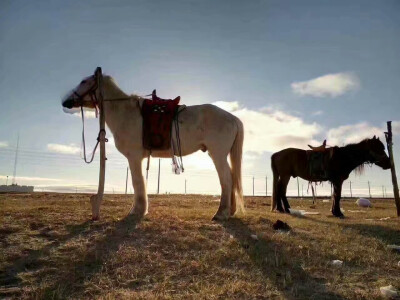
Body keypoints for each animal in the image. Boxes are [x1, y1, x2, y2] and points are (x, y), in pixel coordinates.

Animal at [62, 69, 244, 220]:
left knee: (226, 179)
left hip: (218, 154)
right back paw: (231, 211)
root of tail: (232, 118)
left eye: (84, 81)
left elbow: (137, 182)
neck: (126, 113)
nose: (65, 102)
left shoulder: (134, 157)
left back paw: (221, 213)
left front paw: (137, 211)